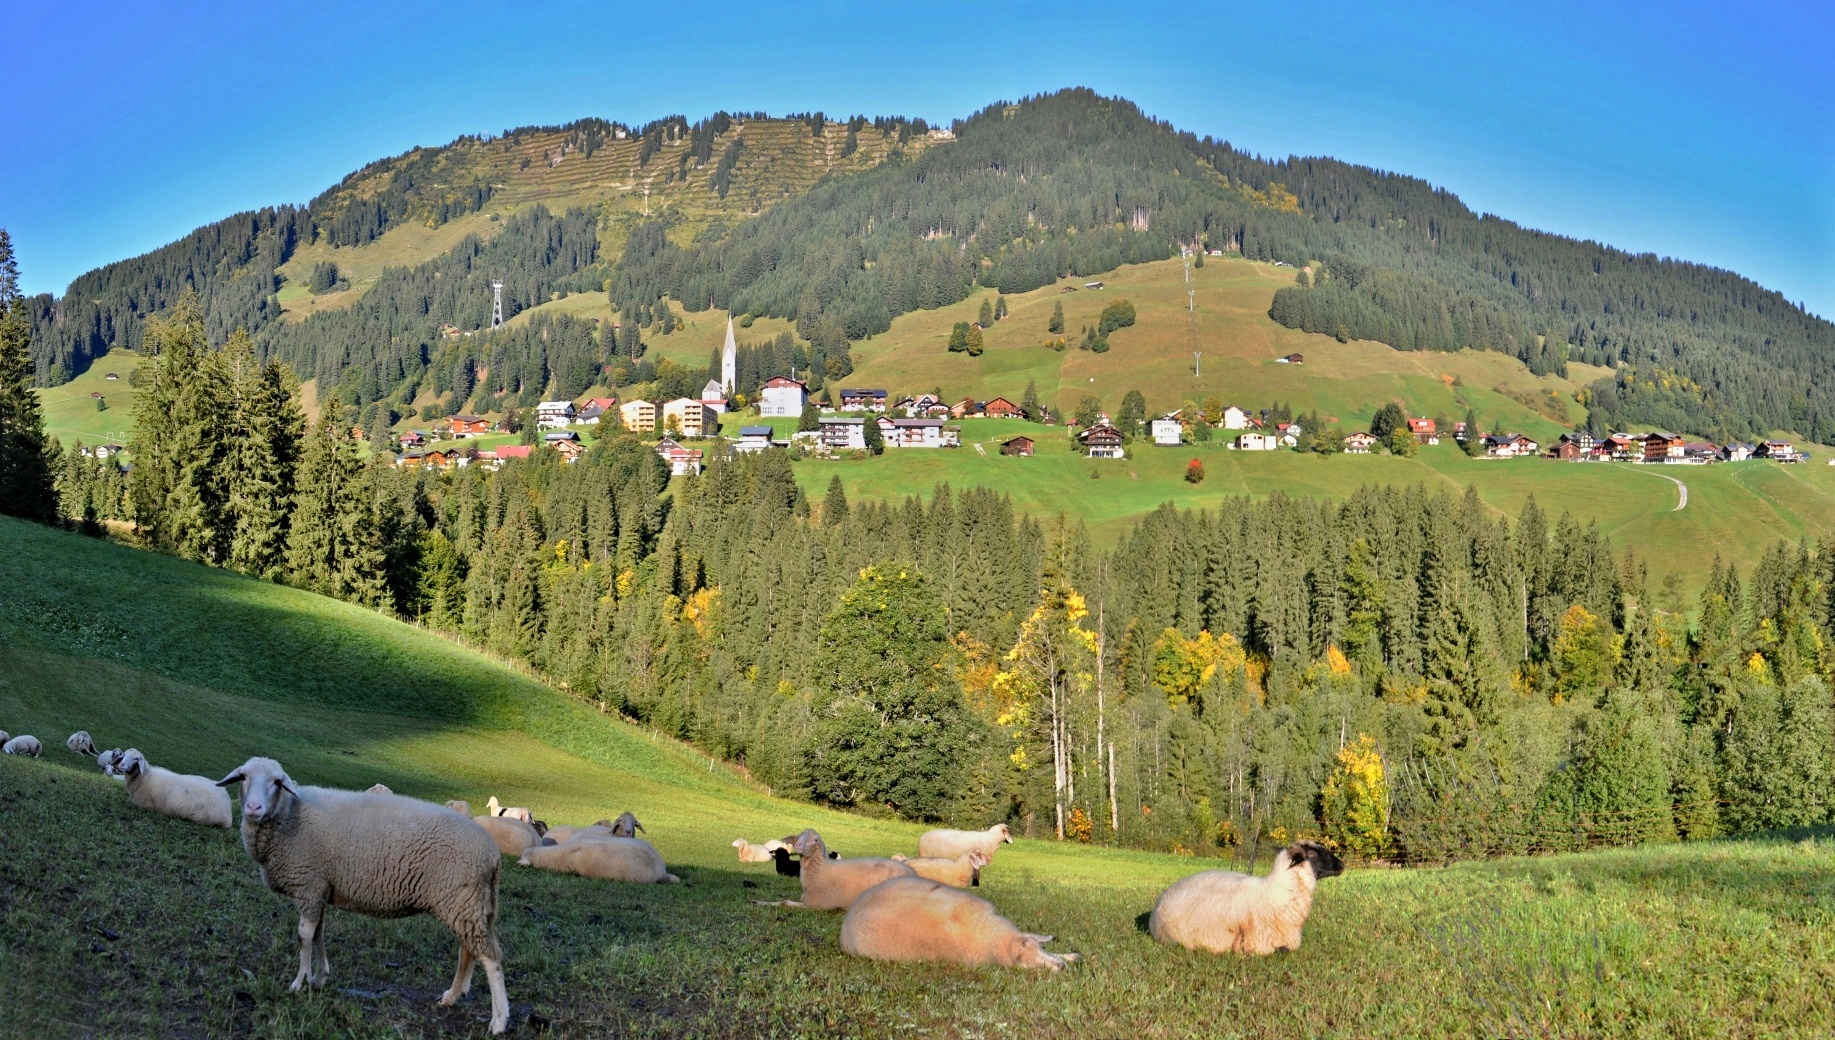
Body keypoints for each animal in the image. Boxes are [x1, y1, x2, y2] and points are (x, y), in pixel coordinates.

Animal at [218, 755, 513, 1034]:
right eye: (243, 777)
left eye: (277, 782)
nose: (253, 808)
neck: (290, 816)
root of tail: (492, 854)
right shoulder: (320, 888)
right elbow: (318, 935)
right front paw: (319, 978)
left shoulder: (309, 886)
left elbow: (304, 937)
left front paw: (299, 983)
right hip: (466, 903)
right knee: (468, 950)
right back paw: (452, 996)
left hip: (460, 900)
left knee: (491, 957)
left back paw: (498, 1020)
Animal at [752, 829, 910, 909]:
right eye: (798, 837)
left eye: (815, 840)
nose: (797, 846)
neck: (820, 871)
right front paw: (758, 902)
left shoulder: (816, 904)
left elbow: (784, 902)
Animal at [840, 880, 1078, 975]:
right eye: (1024, 963)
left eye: (1036, 948)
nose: (1059, 968)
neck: (989, 938)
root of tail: (847, 920)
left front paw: (1071, 956)